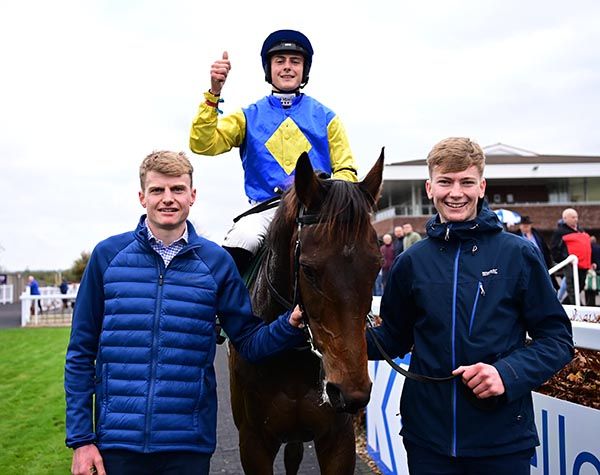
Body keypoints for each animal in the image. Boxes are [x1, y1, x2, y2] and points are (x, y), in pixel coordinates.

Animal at [227, 151, 386, 474]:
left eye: (376, 265)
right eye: (309, 270)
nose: (350, 391)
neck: (293, 362)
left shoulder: (338, 441)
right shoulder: (252, 443)